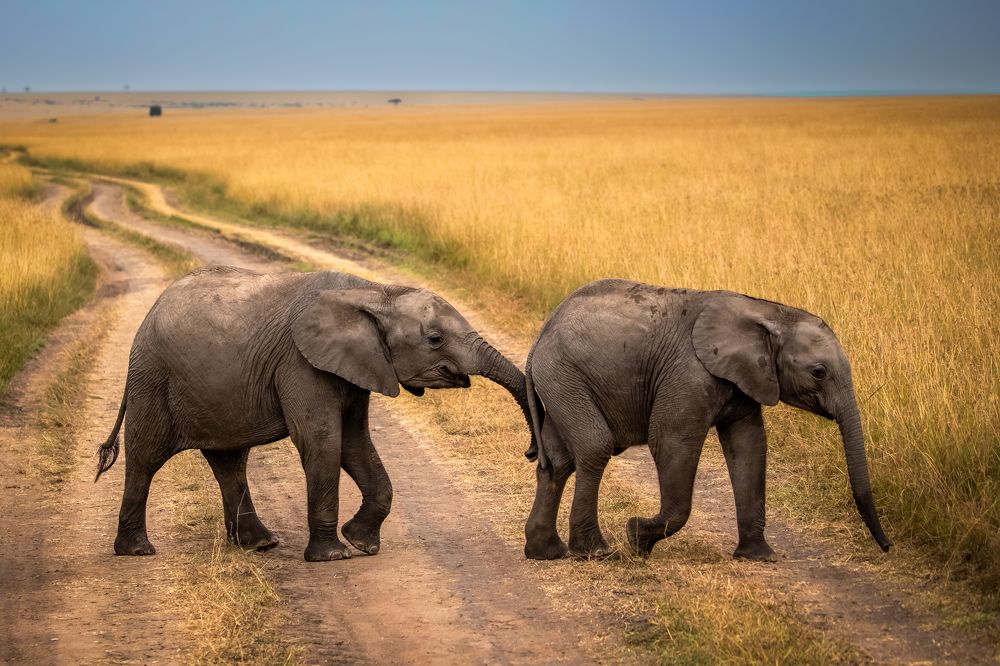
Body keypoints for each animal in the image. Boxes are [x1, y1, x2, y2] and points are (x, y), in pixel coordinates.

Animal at [95, 266, 535, 561]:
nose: (531, 453)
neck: (375, 292)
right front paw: (333, 555)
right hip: (152, 379)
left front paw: (361, 543)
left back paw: (261, 544)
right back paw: (137, 550)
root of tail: (148, 315)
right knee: (145, 457)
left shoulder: (358, 365)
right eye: (435, 339)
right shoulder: (301, 362)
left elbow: (355, 443)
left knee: (229, 463)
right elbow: (322, 441)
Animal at [522, 279, 892, 561]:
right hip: (565, 376)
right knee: (595, 448)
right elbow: (670, 440)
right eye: (818, 372)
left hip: (561, 383)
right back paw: (597, 553)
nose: (888, 547)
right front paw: (637, 537)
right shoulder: (689, 374)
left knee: (559, 462)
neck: (768, 313)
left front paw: (760, 557)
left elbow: (749, 446)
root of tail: (541, 335)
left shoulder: (746, 380)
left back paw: (547, 553)